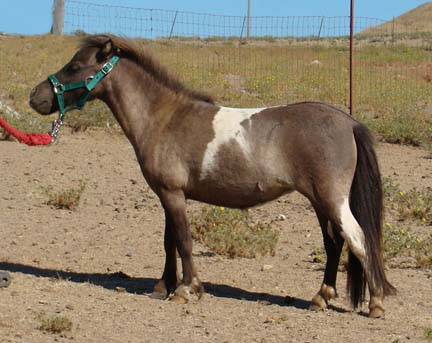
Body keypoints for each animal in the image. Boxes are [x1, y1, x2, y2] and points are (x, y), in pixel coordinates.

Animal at [29, 33, 394, 318]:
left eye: (75, 66)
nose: (36, 97)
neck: (163, 117)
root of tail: (348, 121)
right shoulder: (169, 195)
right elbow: (169, 242)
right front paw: (163, 286)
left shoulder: (172, 194)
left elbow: (184, 241)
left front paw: (186, 290)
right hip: (320, 202)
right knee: (334, 245)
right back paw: (320, 298)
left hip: (331, 199)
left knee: (359, 240)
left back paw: (375, 304)